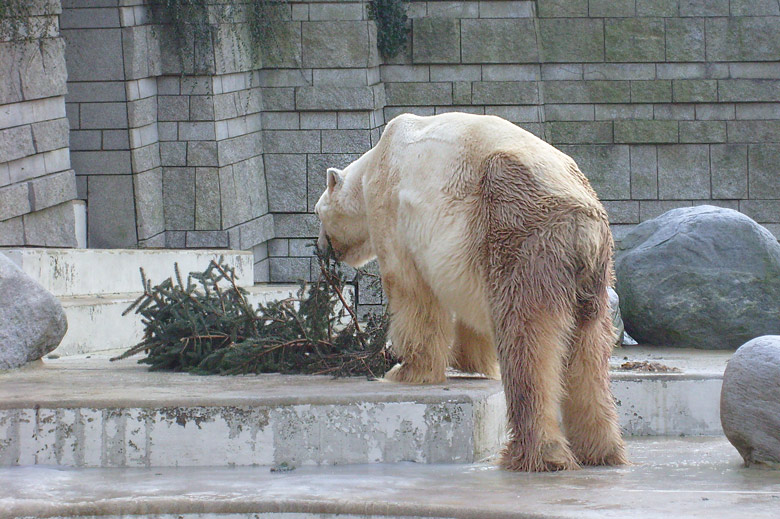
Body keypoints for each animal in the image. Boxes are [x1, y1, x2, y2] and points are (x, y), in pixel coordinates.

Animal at [314, 112, 624, 472]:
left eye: (317, 213)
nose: (320, 249)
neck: (373, 163)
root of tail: (580, 222)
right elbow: (471, 311)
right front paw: (470, 361)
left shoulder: (393, 211)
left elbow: (411, 292)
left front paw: (405, 369)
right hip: (594, 273)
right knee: (590, 349)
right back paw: (600, 450)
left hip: (520, 232)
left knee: (527, 339)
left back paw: (537, 454)